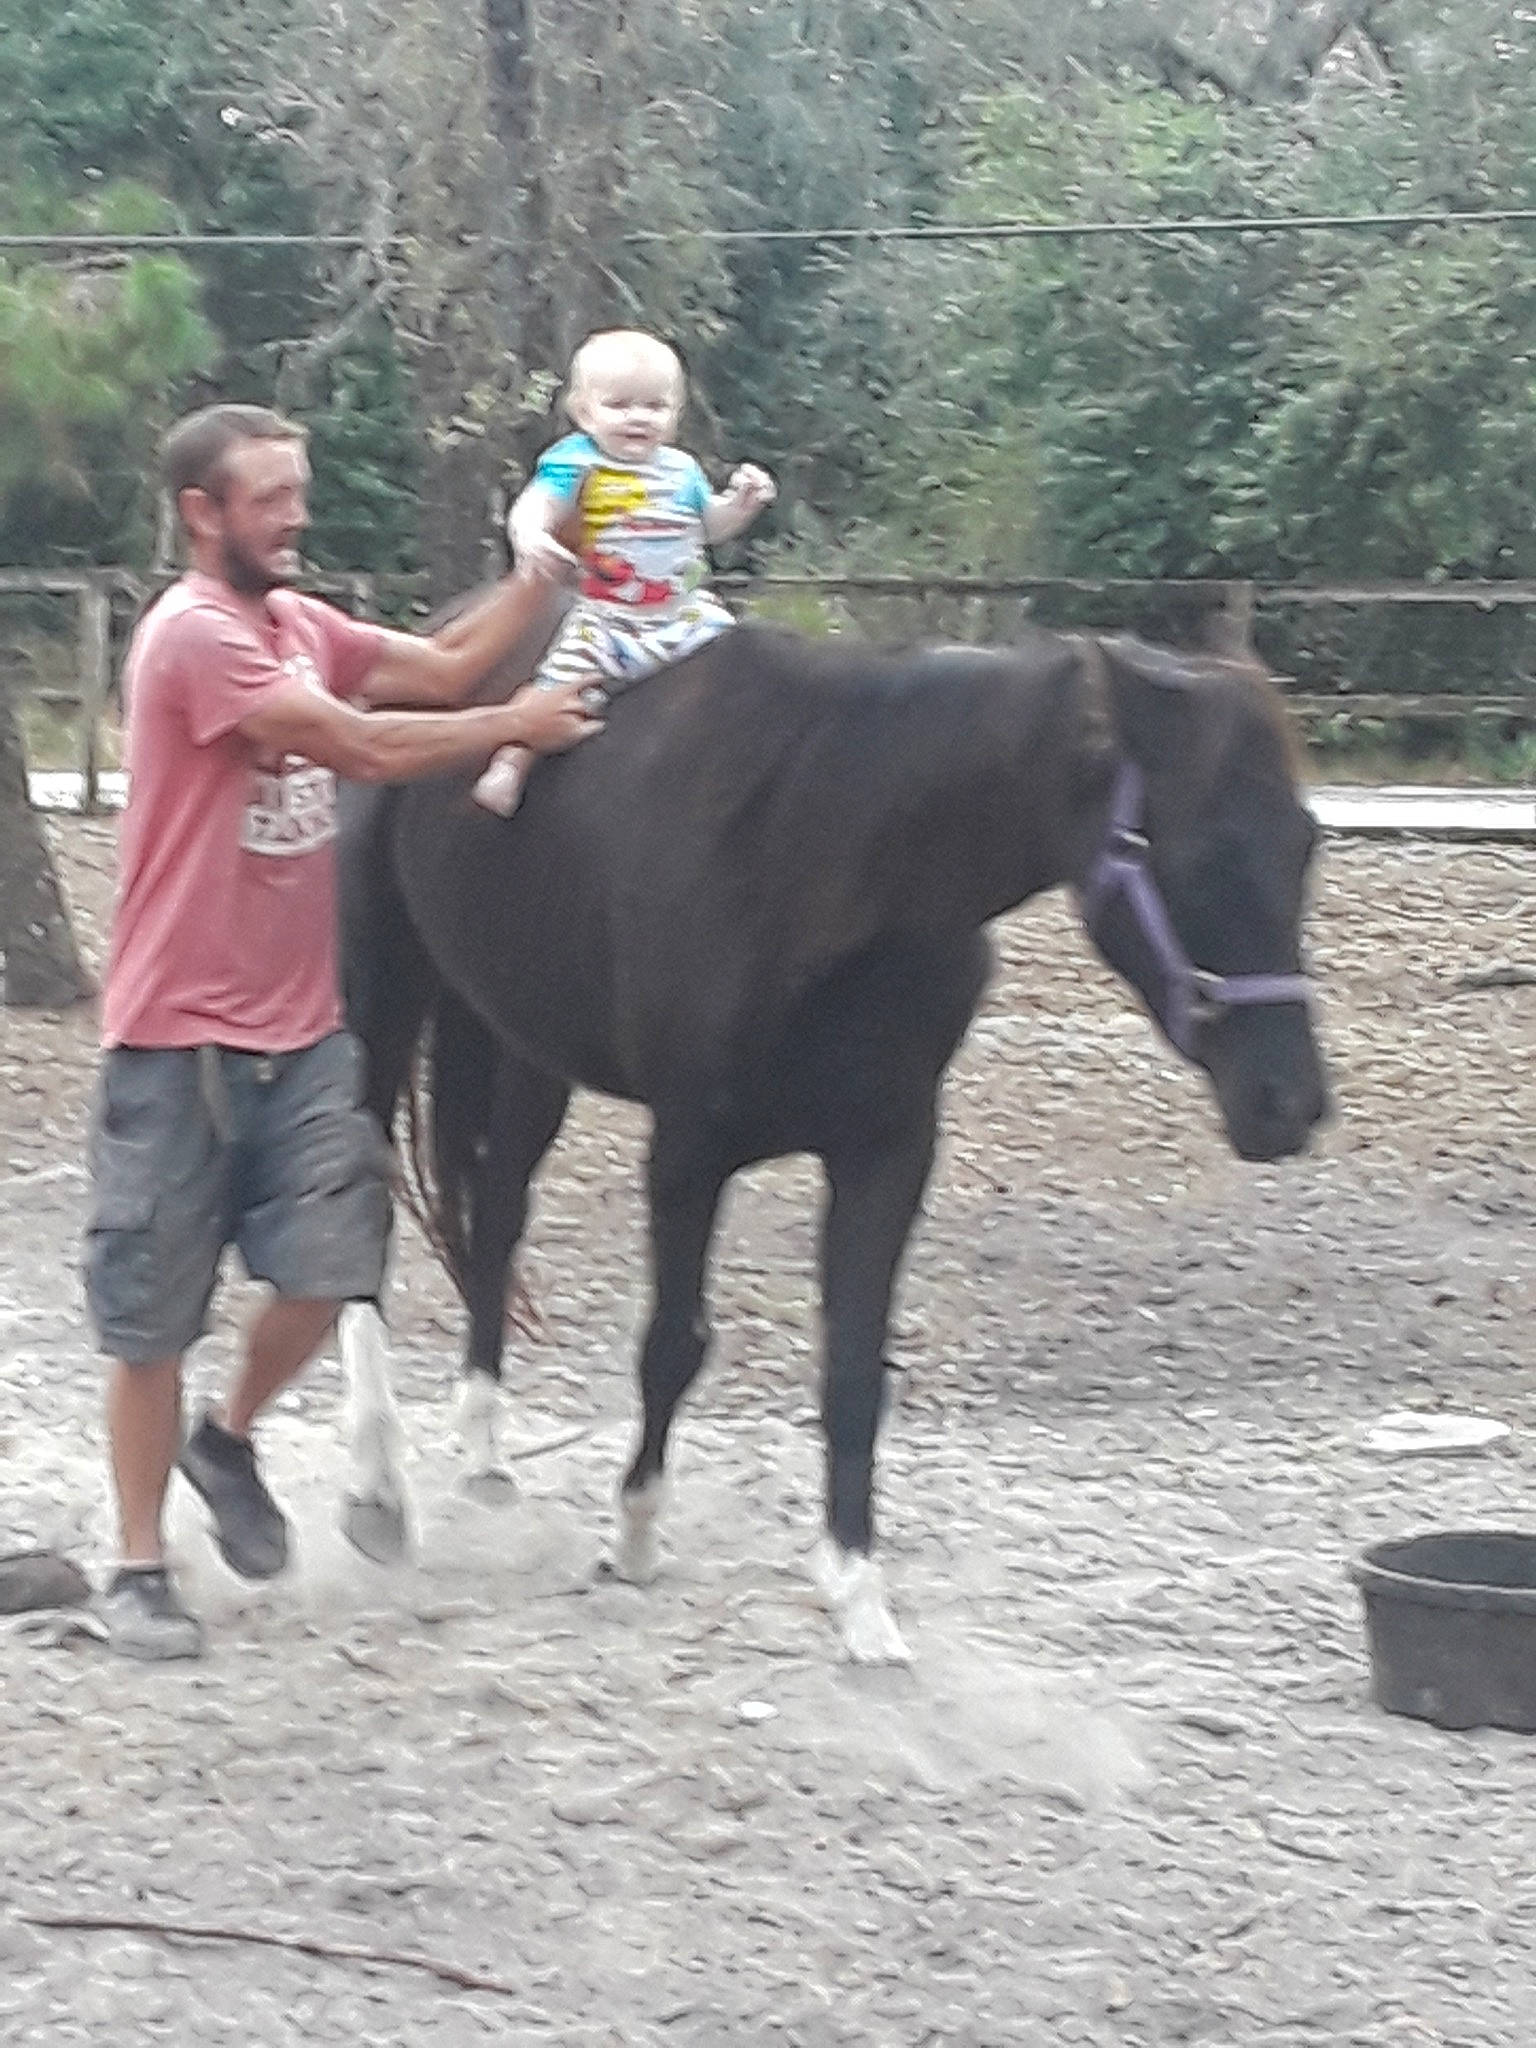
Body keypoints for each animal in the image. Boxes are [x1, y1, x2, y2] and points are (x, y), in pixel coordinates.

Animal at [335, 620, 1329, 1661]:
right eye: (1205, 854)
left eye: (1304, 845)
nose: (1289, 1103)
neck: (828, 851)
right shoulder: (688, 1149)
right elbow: (672, 1345)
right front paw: (635, 1537)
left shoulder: (888, 1152)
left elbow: (855, 1371)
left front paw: (859, 1595)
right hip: (382, 997)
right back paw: (376, 1484)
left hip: (528, 1049)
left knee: (495, 1220)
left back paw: (485, 1445)